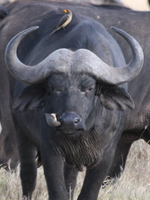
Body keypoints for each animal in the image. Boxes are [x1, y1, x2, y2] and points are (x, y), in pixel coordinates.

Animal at [2, 2, 144, 200]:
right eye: (53, 87)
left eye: (89, 88)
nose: (69, 121)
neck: (83, 134)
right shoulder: (51, 152)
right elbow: (57, 190)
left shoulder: (107, 155)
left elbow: (88, 191)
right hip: (19, 131)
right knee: (26, 172)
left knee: (70, 179)